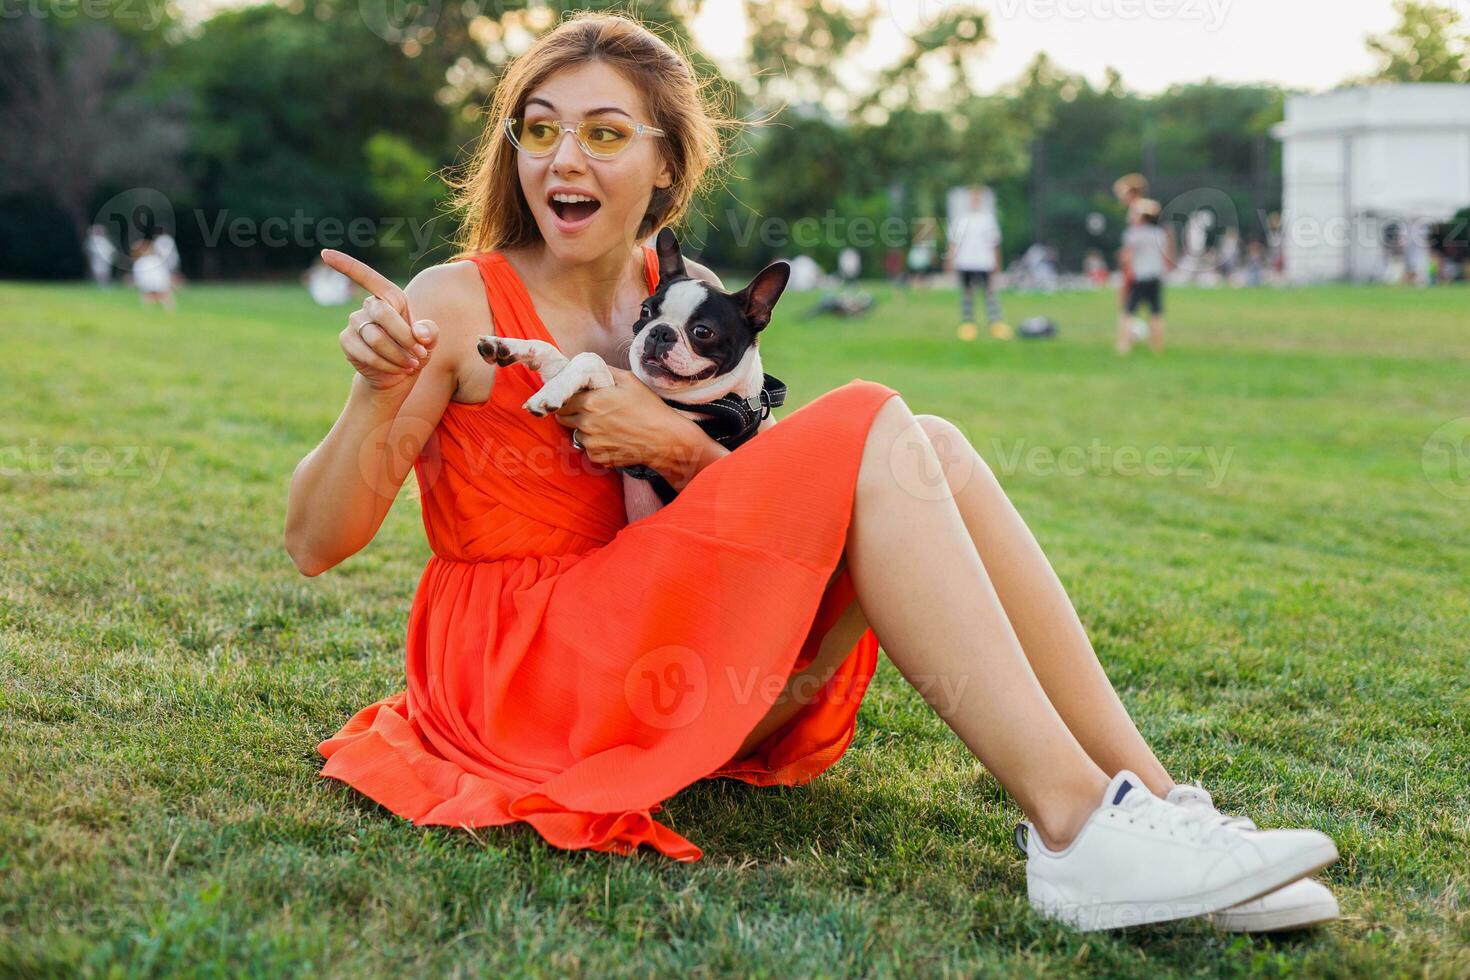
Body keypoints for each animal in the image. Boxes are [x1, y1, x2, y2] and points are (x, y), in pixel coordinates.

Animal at [476, 230, 787, 525]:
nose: (660, 332)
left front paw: (548, 394)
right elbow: (558, 355)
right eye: (646, 310)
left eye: (702, 331)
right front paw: (507, 346)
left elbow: (590, 359)